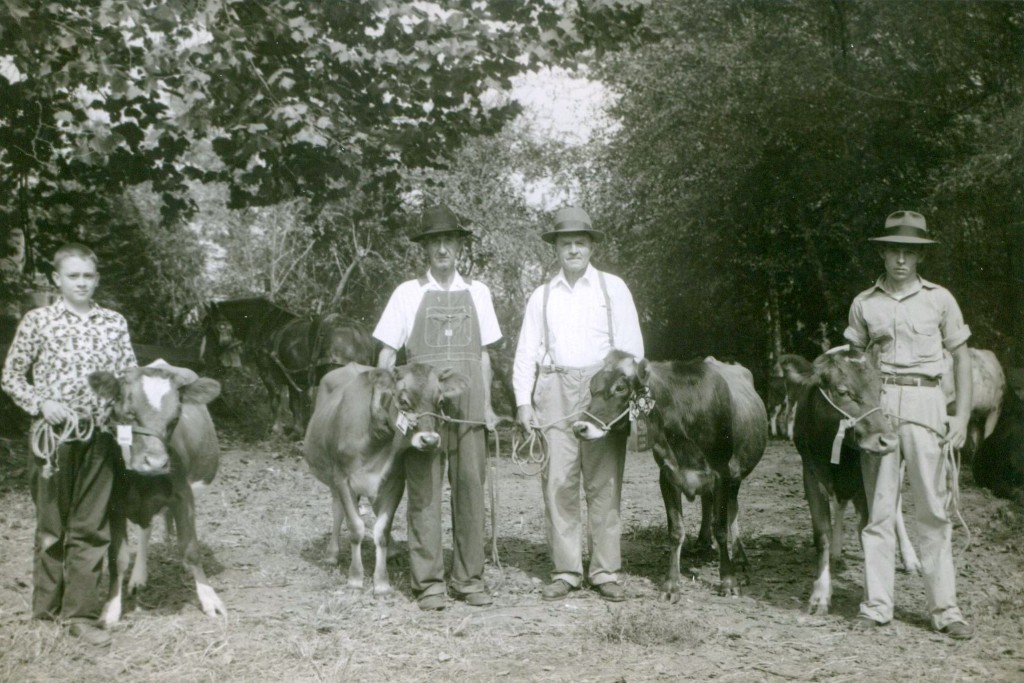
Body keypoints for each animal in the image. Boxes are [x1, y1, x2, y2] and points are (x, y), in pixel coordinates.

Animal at [88, 362, 226, 626]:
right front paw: (112, 608)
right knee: (145, 530)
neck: (142, 481)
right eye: (130, 414)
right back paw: (139, 577)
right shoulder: (114, 504)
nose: (156, 462)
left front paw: (208, 598)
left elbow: (190, 548)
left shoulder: (183, 496)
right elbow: (118, 557)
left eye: (175, 418)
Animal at [301, 362, 466, 593]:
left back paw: (392, 552)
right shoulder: (342, 479)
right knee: (337, 511)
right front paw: (355, 578)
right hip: (332, 477)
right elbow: (355, 527)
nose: (430, 440)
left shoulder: (394, 482)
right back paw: (332, 555)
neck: (374, 440)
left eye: (440, 401)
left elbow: (382, 531)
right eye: (403, 400)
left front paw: (381, 582)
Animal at [577, 352, 770, 598]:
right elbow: (676, 531)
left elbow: (720, 527)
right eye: (592, 387)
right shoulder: (668, 475)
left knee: (732, 510)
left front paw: (728, 580)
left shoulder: (722, 474)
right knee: (708, 503)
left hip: (736, 474)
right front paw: (671, 583)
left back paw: (739, 556)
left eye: (620, 387)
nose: (579, 427)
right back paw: (702, 543)